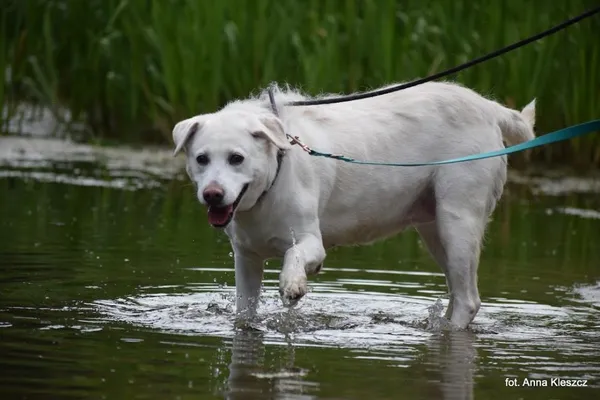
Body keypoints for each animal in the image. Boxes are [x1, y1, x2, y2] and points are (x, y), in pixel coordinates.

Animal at [172, 80, 536, 328]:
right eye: (201, 159)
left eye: (237, 158)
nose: (212, 194)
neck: (274, 176)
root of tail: (487, 108)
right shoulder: (247, 258)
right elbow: (245, 312)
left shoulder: (312, 243)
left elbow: (294, 254)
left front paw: (293, 284)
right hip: (433, 228)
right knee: (460, 293)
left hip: (458, 220)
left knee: (468, 299)